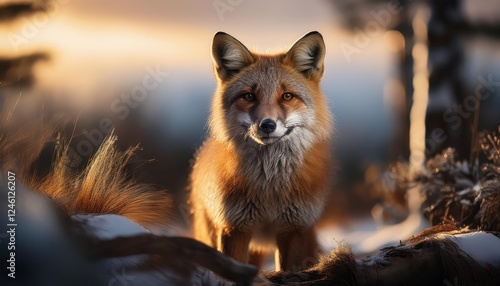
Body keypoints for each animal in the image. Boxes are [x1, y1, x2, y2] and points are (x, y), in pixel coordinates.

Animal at [189, 30, 334, 270]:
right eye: (249, 96)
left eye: (287, 96)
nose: (267, 125)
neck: (269, 189)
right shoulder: (234, 228)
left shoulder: (294, 228)